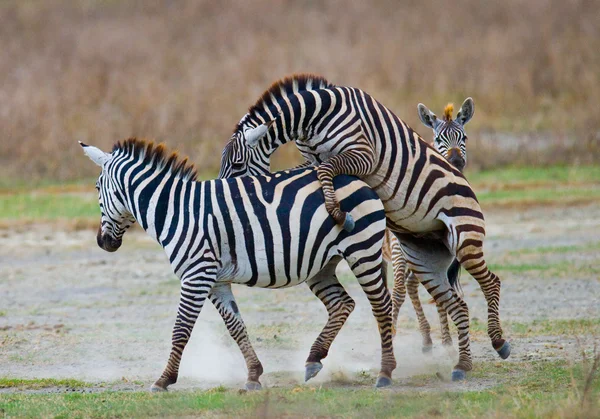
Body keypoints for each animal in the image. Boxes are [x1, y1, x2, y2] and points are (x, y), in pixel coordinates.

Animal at [81, 137, 398, 390]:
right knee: (342, 304)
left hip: (362, 250)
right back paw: (313, 360)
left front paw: (163, 380)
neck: (176, 211)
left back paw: (385, 374)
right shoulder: (216, 281)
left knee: (381, 306)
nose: (103, 242)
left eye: (97, 187)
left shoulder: (196, 275)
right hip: (322, 264)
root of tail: (357, 179)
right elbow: (235, 326)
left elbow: (181, 329)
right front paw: (254, 375)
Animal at [227, 74, 508, 380]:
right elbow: (317, 172)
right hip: (421, 255)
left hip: (465, 238)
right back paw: (459, 363)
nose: (228, 190)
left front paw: (337, 212)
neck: (318, 114)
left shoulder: (363, 155)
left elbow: (325, 171)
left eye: (237, 164)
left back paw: (498, 341)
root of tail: (465, 183)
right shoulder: (316, 160)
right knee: (449, 298)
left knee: (491, 282)